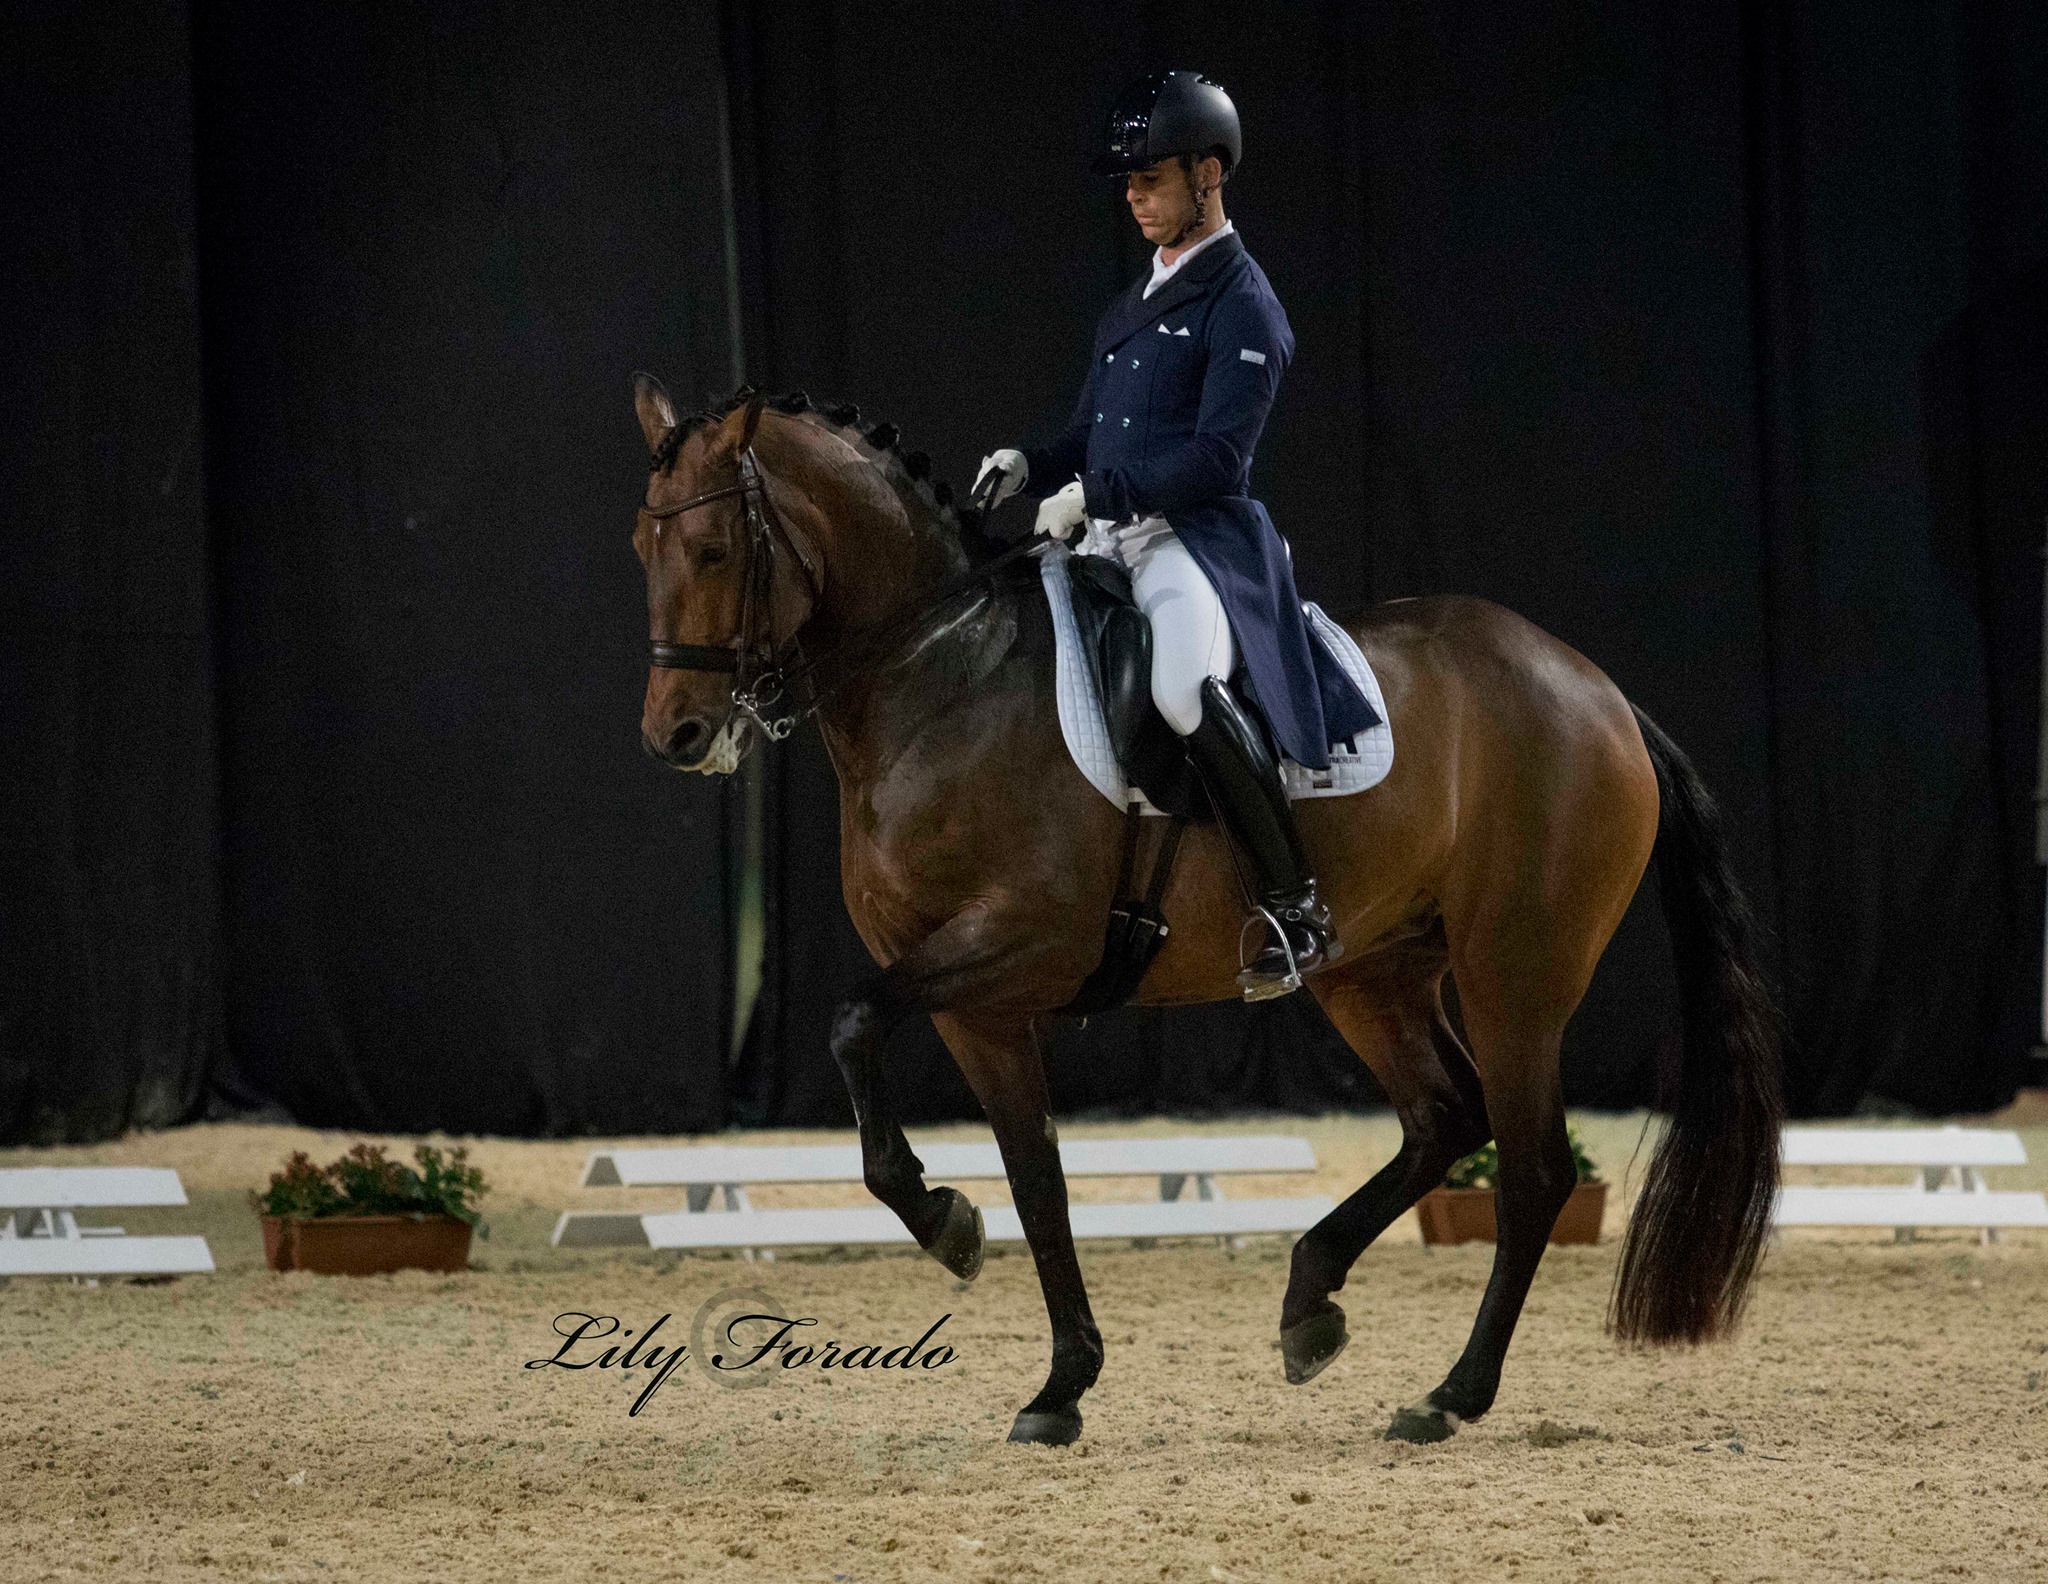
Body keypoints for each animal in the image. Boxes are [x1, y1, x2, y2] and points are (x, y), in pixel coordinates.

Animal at [630, 379, 1785, 1442]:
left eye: (716, 553)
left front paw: (943, 1224)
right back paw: (1309, 1299)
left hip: (1516, 976)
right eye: (643, 547)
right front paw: (1058, 1381)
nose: (676, 737)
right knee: (1443, 1118)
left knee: (1533, 1167)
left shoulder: (1021, 943)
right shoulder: (974, 1003)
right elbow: (1034, 1176)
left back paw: (1449, 1395)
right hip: (1374, 972)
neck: (941, 678)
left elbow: (853, 1022)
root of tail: (1598, 691)